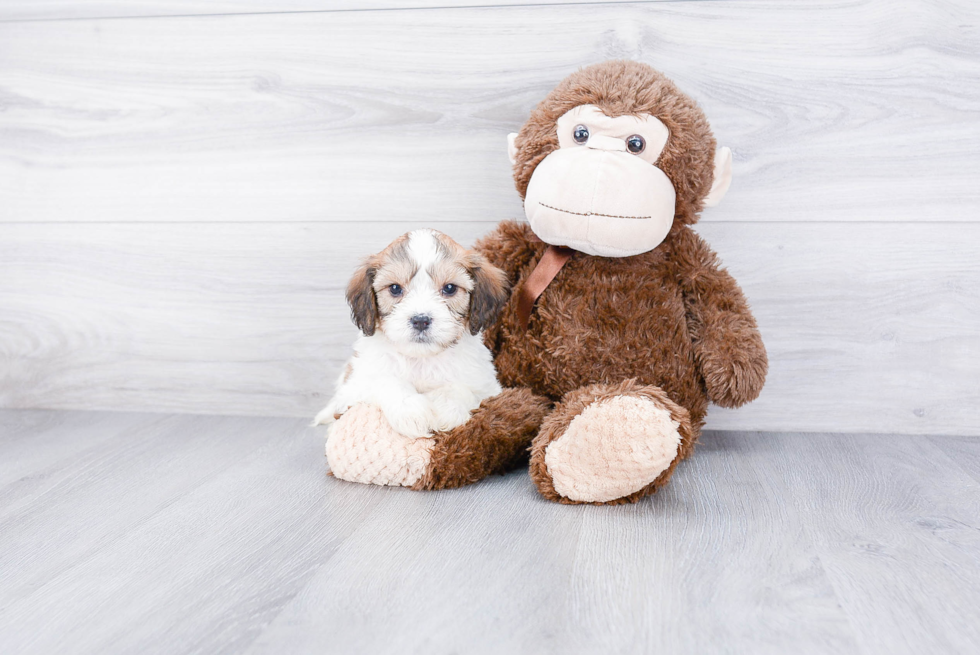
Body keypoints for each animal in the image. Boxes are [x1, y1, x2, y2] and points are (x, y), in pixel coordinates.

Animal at [316, 231, 512, 440]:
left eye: (450, 288)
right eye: (395, 288)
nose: (420, 320)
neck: (421, 360)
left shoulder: (488, 388)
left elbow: (459, 388)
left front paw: (445, 408)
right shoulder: (354, 387)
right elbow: (385, 381)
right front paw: (410, 412)